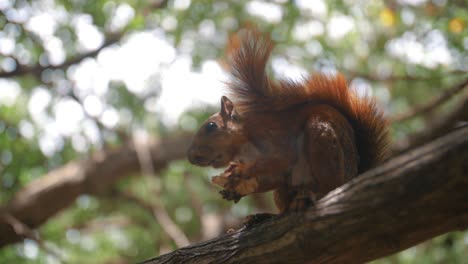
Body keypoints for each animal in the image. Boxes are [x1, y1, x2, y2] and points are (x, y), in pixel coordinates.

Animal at [186, 28, 388, 213]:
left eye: (211, 126)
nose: (190, 157)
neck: (244, 144)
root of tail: (353, 175)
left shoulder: (271, 133)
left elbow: (283, 157)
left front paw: (240, 172)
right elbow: (273, 177)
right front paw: (234, 190)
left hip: (322, 141)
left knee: (330, 185)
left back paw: (315, 195)